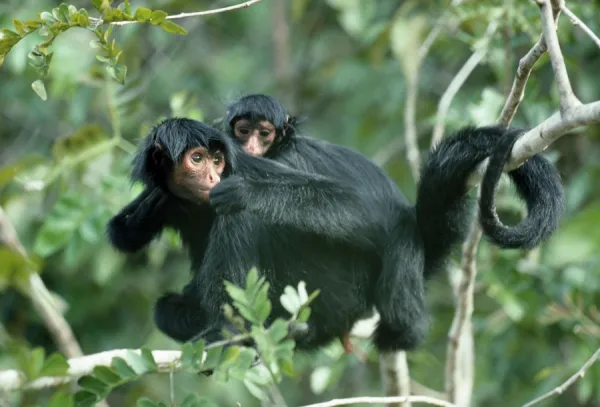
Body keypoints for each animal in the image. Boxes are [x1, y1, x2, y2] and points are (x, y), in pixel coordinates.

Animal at [106, 99, 564, 354]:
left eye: (216, 160)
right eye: (197, 159)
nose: (213, 175)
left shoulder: (261, 164)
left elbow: (363, 210)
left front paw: (243, 194)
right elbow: (122, 234)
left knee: (246, 221)